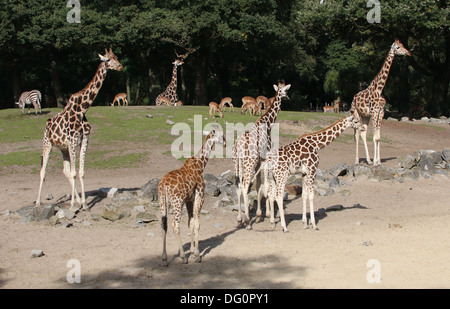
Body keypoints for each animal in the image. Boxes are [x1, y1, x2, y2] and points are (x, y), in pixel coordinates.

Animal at [35, 48, 123, 211]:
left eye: (116, 57)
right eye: (107, 60)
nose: (120, 67)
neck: (82, 110)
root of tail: (47, 123)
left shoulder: (83, 140)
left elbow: (80, 172)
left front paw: (84, 204)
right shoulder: (72, 140)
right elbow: (74, 172)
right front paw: (72, 206)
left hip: (63, 148)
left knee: (65, 171)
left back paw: (76, 199)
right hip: (47, 143)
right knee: (43, 170)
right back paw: (38, 202)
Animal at [159, 127, 227, 264]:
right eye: (221, 135)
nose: (225, 143)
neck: (200, 165)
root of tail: (163, 185)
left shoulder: (189, 200)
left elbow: (190, 223)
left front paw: (190, 250)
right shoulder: (200, 194)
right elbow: (197, 223)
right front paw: (196, 254)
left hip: (163, 202)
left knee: (164, 224)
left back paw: (164, 259)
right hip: (177, 202)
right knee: (175, 225)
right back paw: (183, 257)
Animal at [232, 80, 292, 227]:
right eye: (286, 91)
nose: (288, 98)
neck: (268, 123)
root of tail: (237, 146)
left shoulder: (259, 161)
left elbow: (259, 186)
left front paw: (259, 215)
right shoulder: (266, 158)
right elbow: (267, 186)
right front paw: (270, 217)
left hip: (237, 163)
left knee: (238, 185)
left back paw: (240, 218)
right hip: (248, 163)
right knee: (245, 185)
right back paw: (247, 221)